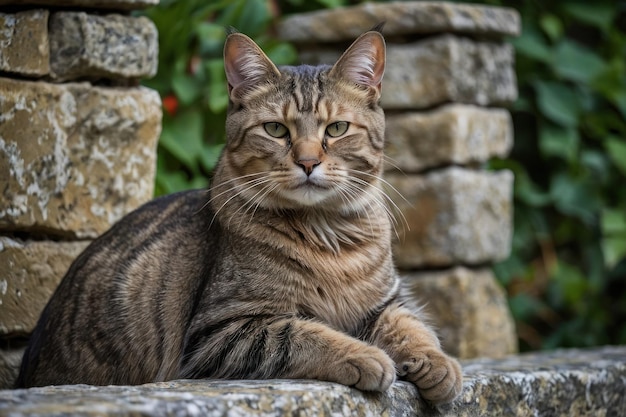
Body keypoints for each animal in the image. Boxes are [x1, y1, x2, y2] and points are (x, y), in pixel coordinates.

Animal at [15, 28, 464, 404]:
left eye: (336, 129)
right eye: (276, 130)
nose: (307, 162)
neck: (328, 235)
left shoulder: (386, 301)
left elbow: (413, 325)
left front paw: (440, 366)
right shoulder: (220, 332)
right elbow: (303, 334)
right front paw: (365, 356)